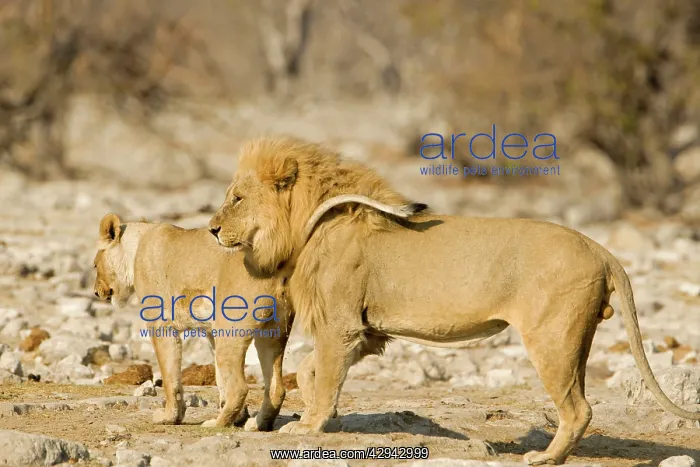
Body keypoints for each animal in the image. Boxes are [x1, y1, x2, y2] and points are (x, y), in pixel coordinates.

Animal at [92, 213, 292, 431]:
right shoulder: (212, 332)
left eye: (95, 265)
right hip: (272, 334)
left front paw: (170, 417)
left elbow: (170, 376)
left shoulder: (160, 323)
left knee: (239, 387)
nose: (95, 292)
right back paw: (256, 424)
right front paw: (239, 418)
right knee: (276, 388)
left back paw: (216, 423)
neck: (137, 246)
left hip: (231, 329)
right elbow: (219, 378)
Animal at [207, 135, 700, 465]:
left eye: (237, 198)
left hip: (551, 338)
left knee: (579, 409)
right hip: (576, 338)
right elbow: (312, 369)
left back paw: (543, 458)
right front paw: (318, 411)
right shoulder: (367, 331)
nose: (211, 229)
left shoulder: (340, 323)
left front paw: (310, 425)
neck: (309, 222)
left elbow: (325, 371)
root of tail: (600, 247)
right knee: (579, 402)